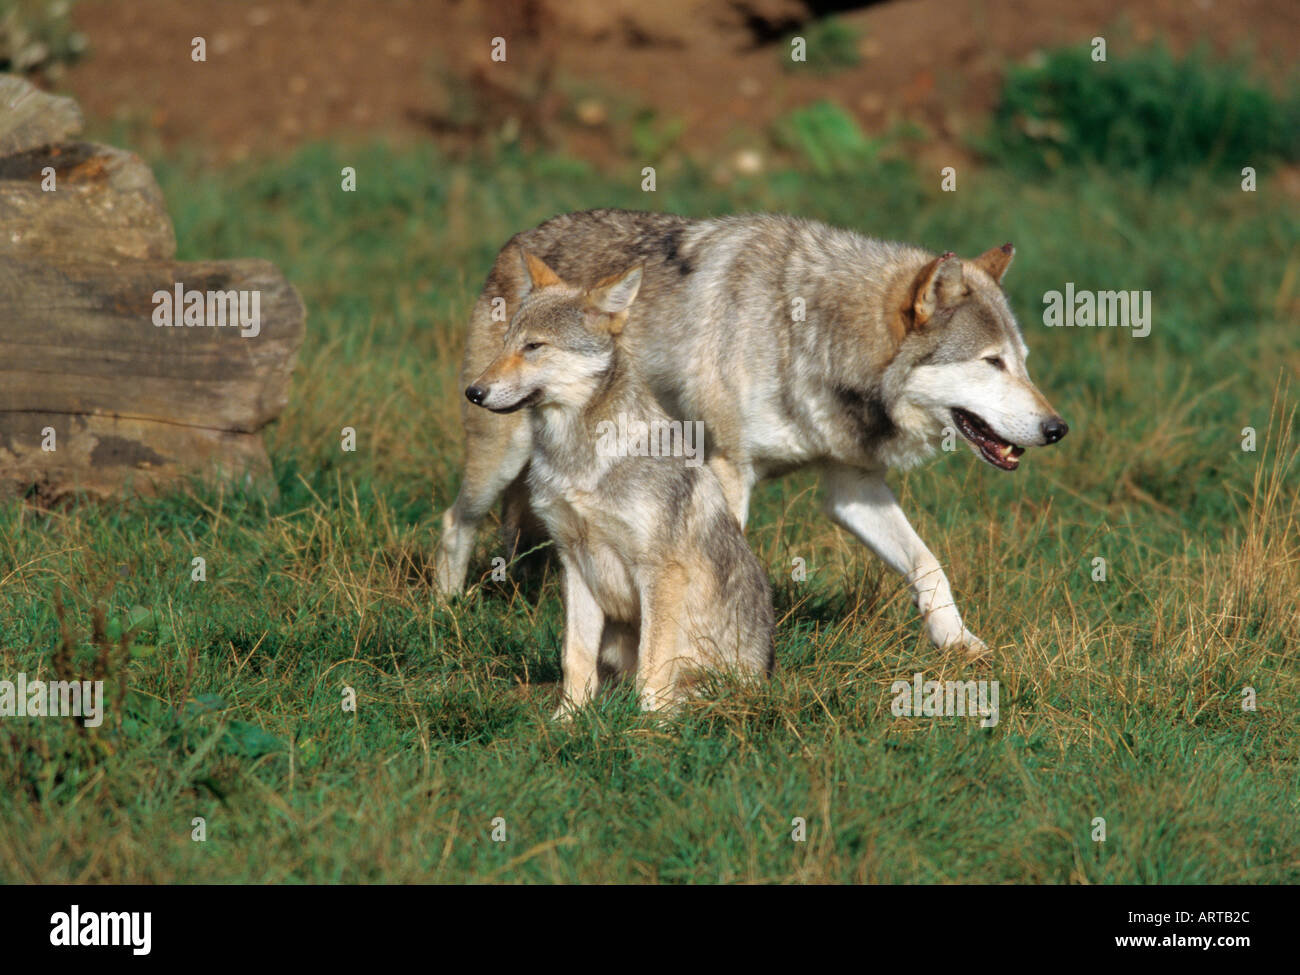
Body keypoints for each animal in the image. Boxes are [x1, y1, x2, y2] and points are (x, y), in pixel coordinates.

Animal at [436, 209, 1068, 658]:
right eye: (992, 362)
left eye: (1023, 362)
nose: (1057, 428)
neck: (810, 334)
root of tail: (518, 239)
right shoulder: (728, 472)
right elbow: (725, 567)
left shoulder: (853, 488)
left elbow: (928, 564)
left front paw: (959, 644)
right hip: (499, 456)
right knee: (454, 520)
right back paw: (445, 611)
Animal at [465, 250, 775, 713]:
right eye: (505, 344)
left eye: (533, 346)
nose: (473, 392)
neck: (578, 459)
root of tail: (767, 682)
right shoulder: (574, 563)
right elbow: (574, 658)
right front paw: (567, 719)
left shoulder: (661, 571)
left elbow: (651, 665)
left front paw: (648, 724)